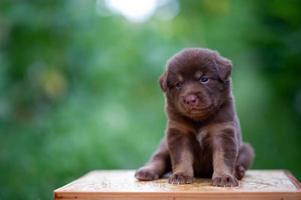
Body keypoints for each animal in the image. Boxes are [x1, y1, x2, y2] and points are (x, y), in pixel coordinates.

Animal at [135, 47, 254, 187]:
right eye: (178, 84)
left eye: (204, 79)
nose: (190, 99)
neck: (199, 121)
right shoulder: (179, 133)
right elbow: (182, 157)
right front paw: (181, 175)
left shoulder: (222, 132)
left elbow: (222, 157)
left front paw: (224, 177)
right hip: (164, 145)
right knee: (158, 158)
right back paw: (146, 171)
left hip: (246, 150)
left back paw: (238, 171)